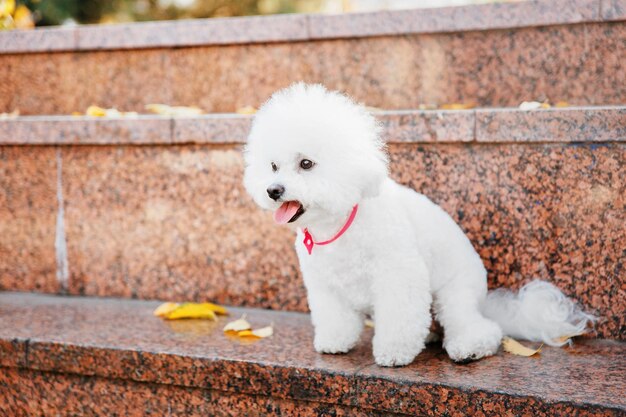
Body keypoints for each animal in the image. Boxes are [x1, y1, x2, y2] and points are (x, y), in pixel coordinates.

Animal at [241, 83, 592, 366]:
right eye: (273, 166)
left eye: (306, 163)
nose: (273, 190)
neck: (339, 224)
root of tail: (486, 303)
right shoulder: (325, 285)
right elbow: (335, 317)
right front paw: (335, 342)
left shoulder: (399, 276)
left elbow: (399, 318)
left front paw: (395, 353)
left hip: (456, 294)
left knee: (480, 327)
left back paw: (468, 347)